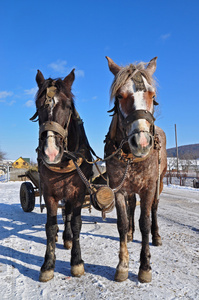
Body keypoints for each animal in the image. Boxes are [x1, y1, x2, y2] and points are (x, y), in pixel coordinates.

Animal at [31, 69, 92, 282]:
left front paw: (77, 261)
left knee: (68, 214)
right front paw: (48, 264)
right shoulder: (50, 193)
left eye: (67, 106)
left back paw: (67, 237)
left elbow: (76, 223)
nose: (50, 152)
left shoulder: (78, 193)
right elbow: (49, 226)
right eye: (38, 105)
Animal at [105, 56, 167, 284]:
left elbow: (145, 222)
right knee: (132, 206)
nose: (141, 142)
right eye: (120, 96)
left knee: (154, 208)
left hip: (160, 182)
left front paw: (145, 266)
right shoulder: (118, 189)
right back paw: (131, 233)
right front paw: (122, 264)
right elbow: (122, 223)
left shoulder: (148, 188)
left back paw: (156, 236)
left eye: (152, 95)